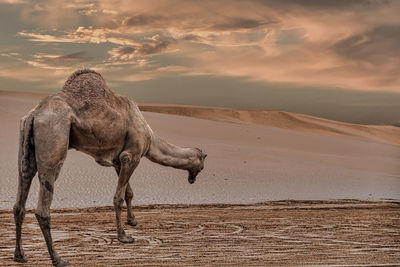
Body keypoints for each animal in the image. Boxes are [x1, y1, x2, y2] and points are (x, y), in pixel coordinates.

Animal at [12, 69, 206, 267]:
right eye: (202, 166)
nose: (192, 179)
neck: (150, 138)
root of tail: (35, 113)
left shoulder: (119, 161)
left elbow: (128, 193)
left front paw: (132, 221)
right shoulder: (131, 156)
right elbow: (118, 197)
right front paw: (124, 237)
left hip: (25, 145)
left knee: (21, 193)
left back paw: (20, 255)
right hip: (54, 136)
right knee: (43, 206)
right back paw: (58, 259)